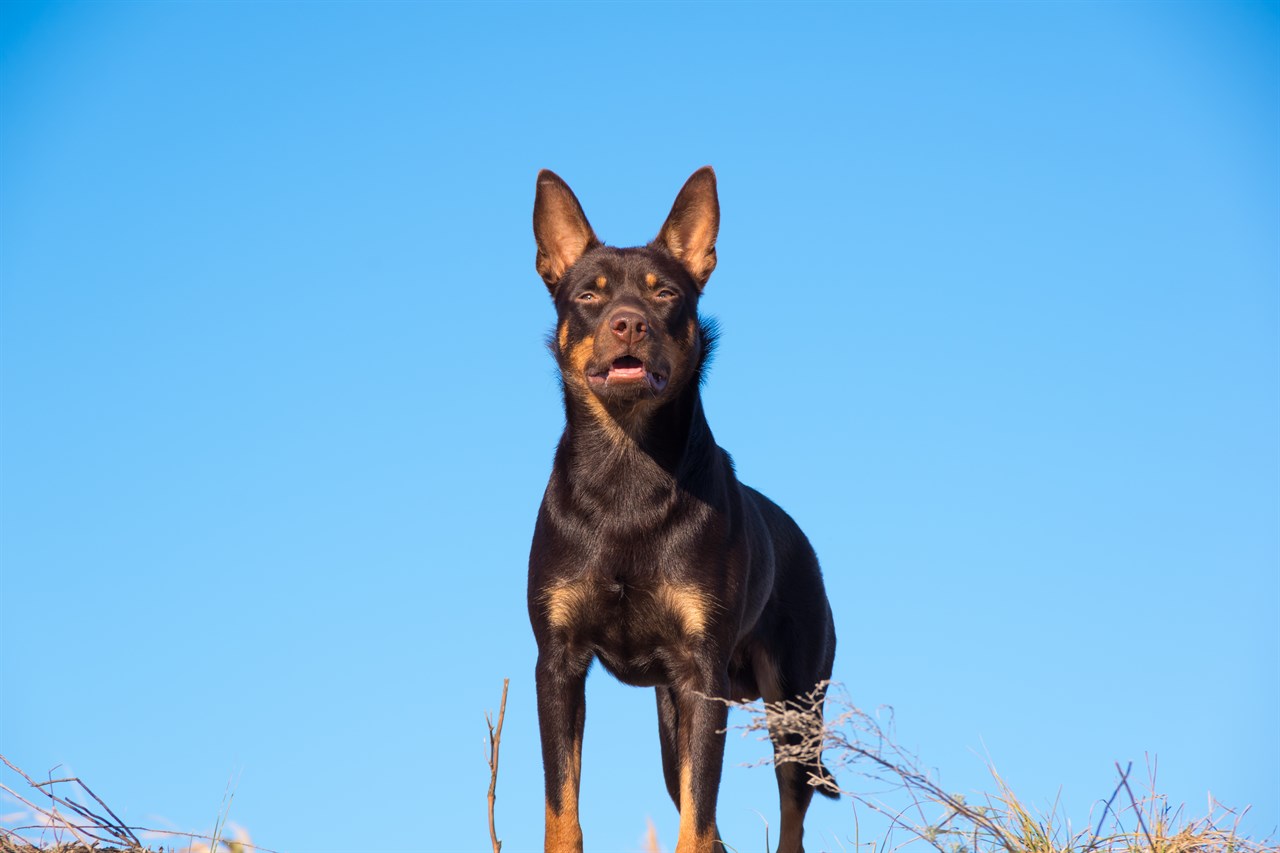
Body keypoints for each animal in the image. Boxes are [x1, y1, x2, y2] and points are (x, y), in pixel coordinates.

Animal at [529, 167, 839, 850]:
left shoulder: (703, 677)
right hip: (676, 724)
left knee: (789, 818)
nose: (628, 324)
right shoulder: (558, 664)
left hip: (793, 710)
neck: (626, 475)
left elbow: (695, 826)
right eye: (587, 296)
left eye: (665, 293)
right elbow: (563, 809)